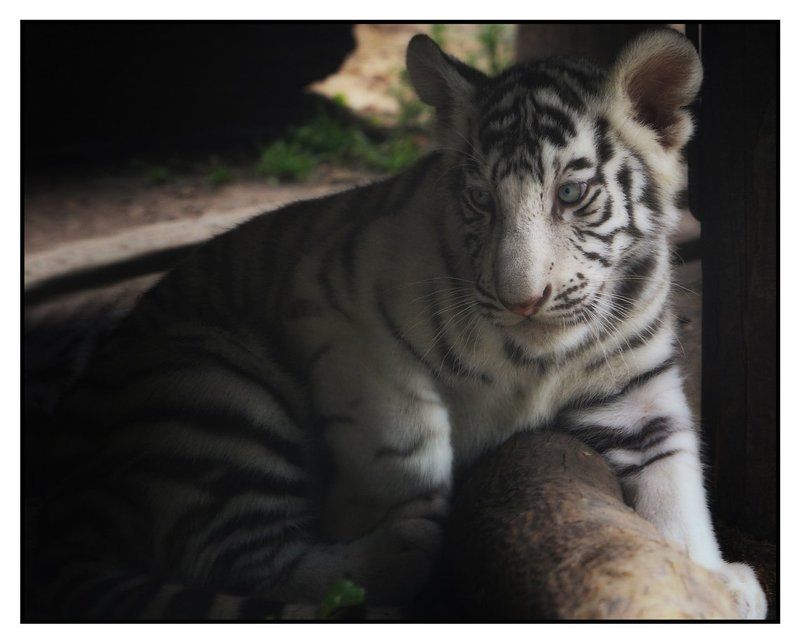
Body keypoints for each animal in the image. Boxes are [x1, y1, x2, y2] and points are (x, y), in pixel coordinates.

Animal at [31, 29, 767, 620]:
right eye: (481, 199)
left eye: (571, 193)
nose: (522, 300)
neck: (537, 355)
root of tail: (59, 519)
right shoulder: (341, 322)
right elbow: (409, 446)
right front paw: (386, 510)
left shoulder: (640, 391)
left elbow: (676, 485)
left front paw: (718, 579)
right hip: (215, 391)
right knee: (244, 558)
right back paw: (395, 555)